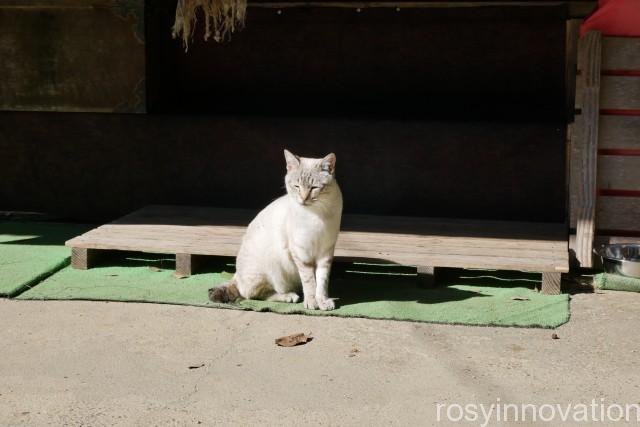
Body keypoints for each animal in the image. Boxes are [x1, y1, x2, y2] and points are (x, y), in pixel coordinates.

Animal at [210, 150, 342, 310]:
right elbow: (310, 281)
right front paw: (312, 302)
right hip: (270, 267)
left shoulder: (325, 253)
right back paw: (290, 296)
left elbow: (321, 282)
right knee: (253, 295)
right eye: (296, 186)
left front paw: (323, 301)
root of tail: (236, 275)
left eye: (314, 188)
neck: (317, 213)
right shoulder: (301, 253)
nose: (303, 199)